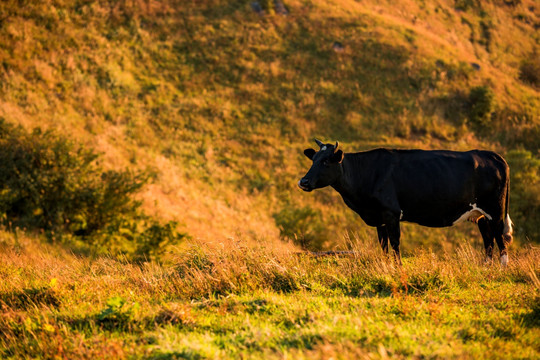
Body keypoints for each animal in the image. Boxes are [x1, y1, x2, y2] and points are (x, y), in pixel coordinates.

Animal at [300, 139, 516, 266]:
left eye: (326, 162)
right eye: (314, 159)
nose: (303, 181)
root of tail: (493, 155)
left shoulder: (391, 212)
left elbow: (395, 242)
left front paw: (398, 267)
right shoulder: (379, 217)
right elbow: (383, 244)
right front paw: (386, 265)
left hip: (495, 210)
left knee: (499, 237)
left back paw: (502, 268)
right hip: (480, 214)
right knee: (487, 237)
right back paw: (485, 267)